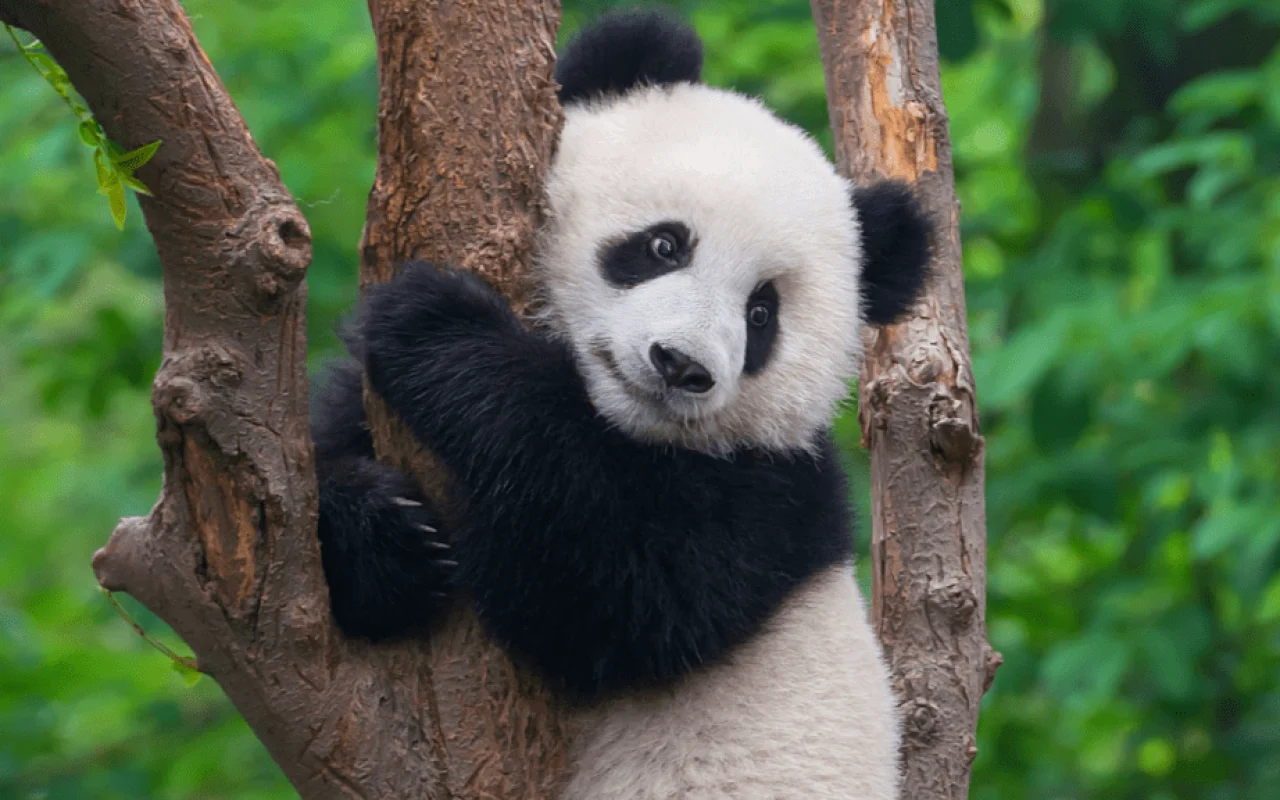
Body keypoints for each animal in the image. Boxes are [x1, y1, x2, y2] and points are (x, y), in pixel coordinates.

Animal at [311, 9, 931, 800]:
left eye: (762, 314)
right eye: (664, 244)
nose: (681, 365)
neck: (616, 423)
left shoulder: (774, 496)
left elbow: (618, 596)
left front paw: (436, 326)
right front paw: (385, 539)